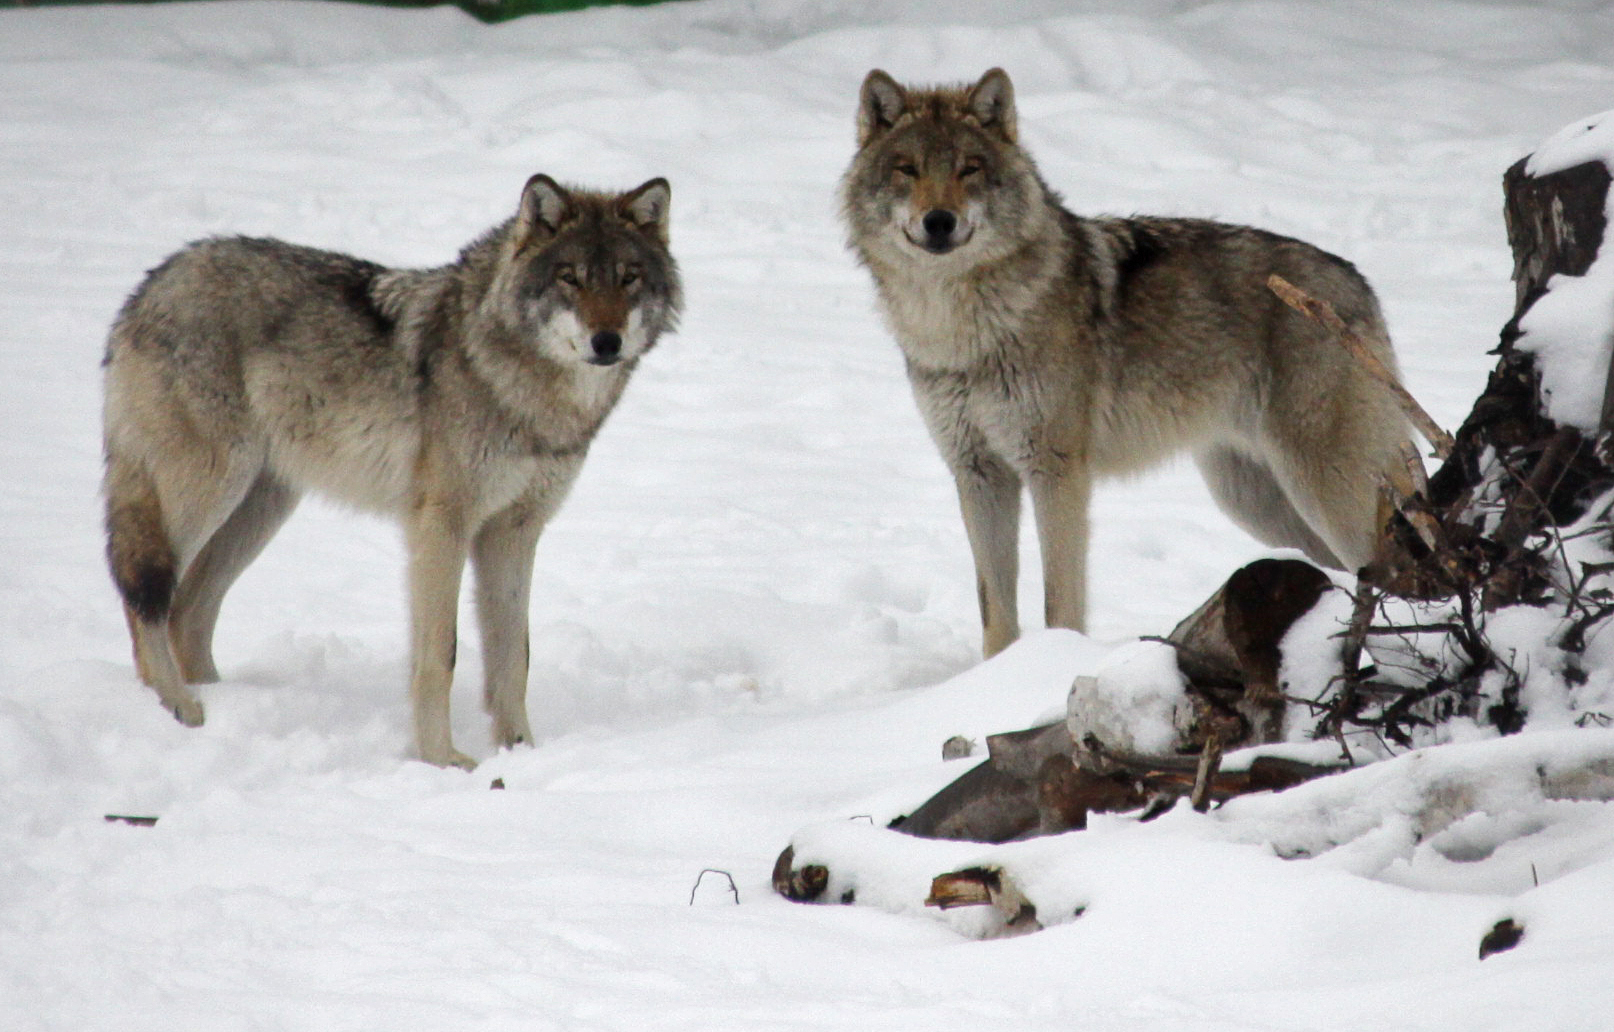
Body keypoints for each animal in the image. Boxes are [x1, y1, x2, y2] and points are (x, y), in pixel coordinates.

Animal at [100, 176, 681, 768]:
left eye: (628, 278)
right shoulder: (441, 527)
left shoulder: (514, 531)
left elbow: (513, 656)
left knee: (188, 608)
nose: (606, 342)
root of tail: (150, 284)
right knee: (144, 594)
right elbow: (441, 656)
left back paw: (221, 703)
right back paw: (178, 706)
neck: (521, 388)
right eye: (570, 278)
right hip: (211, 489)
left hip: (261, 509)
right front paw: (444, 761)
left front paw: (521, 752)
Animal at [845, 68, 1413, 658]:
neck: (961, 330)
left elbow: (1059, 600)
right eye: (907, 170)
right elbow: (995, 611)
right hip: (1260, 504)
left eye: (969, 169)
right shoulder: (978, 472)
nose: (939, 221)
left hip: (1324, 493)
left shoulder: (1056, 470)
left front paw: (1055, 662)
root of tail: (1358, 284)